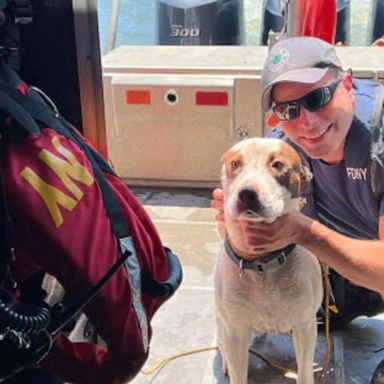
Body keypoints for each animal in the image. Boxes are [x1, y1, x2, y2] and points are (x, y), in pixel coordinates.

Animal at [214, 138, 322, 384]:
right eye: (234, 163)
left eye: (278, 165)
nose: (247, 193)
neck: (261, 264)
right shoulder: (235, 330)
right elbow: (237, 372)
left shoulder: (305, 325)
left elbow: (305, 371)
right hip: (223, 322)